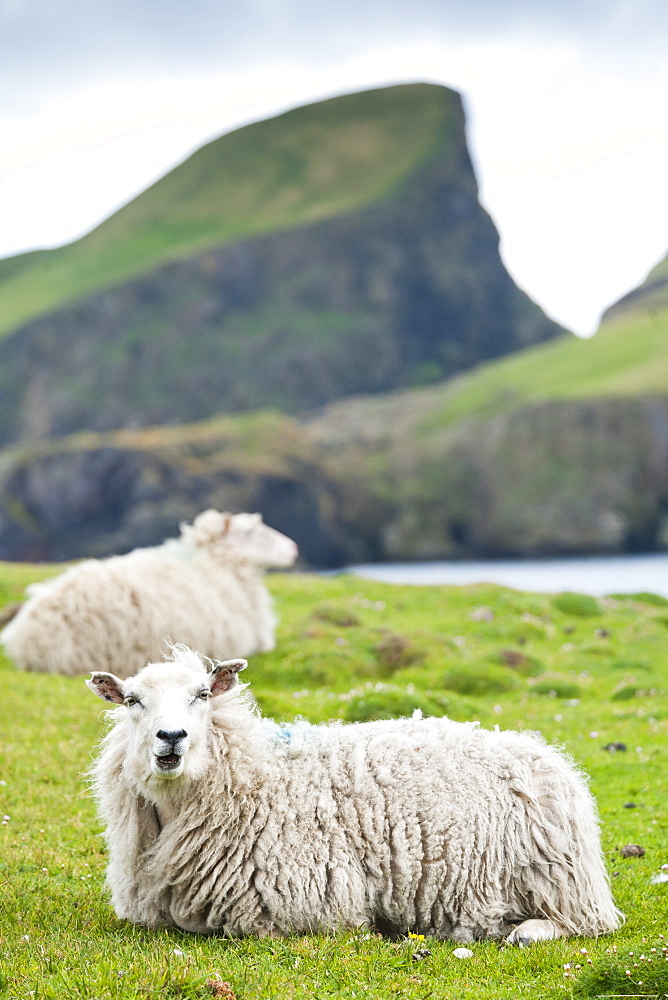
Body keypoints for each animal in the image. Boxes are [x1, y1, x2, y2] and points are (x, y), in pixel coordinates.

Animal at [86, 644, 624, 940]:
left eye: (202, 695)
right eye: (132, 700)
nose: (171, 737)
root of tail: (547, 754)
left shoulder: (305, 907)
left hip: (559, 879)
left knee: (586, 924)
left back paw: (518, 931)